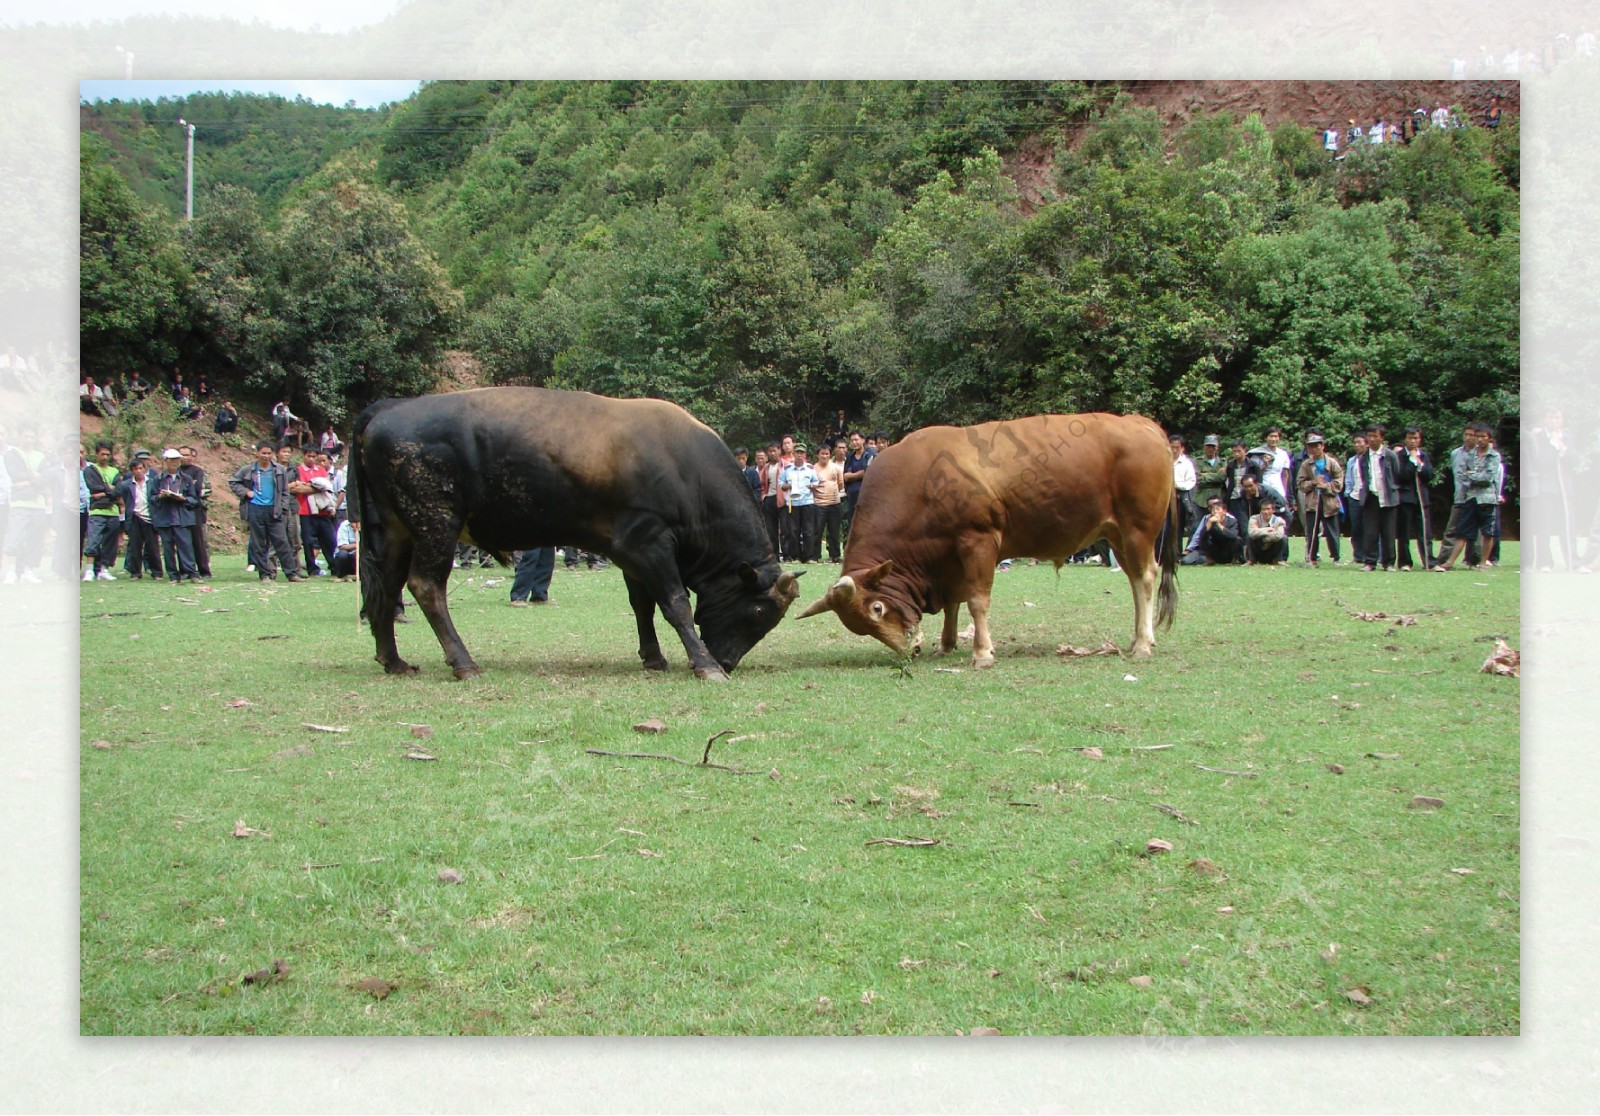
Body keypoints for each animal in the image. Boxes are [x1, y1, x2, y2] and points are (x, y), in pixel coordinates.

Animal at [348, 382, 800, 677]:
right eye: (758, 612)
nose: (727, 661)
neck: (686, 472)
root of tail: (388, 408)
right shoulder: (649, 543)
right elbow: (675, 603)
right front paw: (703, 665)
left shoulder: (630, 553)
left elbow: (643, 605)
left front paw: (653, 657)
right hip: (436, 524)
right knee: (425, 586)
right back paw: (464, 662)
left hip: (398, 530)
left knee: (385, 587)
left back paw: (393, 660)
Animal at [796, 412, 1177, 665]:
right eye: (862, 628)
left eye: (877, 608)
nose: (910, 649)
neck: (921, 483)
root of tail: (1139, 422)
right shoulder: (948, 558)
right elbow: (953, 602)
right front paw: (947, 643)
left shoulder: (977, 541)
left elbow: (977, 600)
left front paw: (982, 652)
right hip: (1117, 535)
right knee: (1135, 581)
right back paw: (1139, 638)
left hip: (1137, 530)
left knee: (1144, 578)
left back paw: (1143, 644)